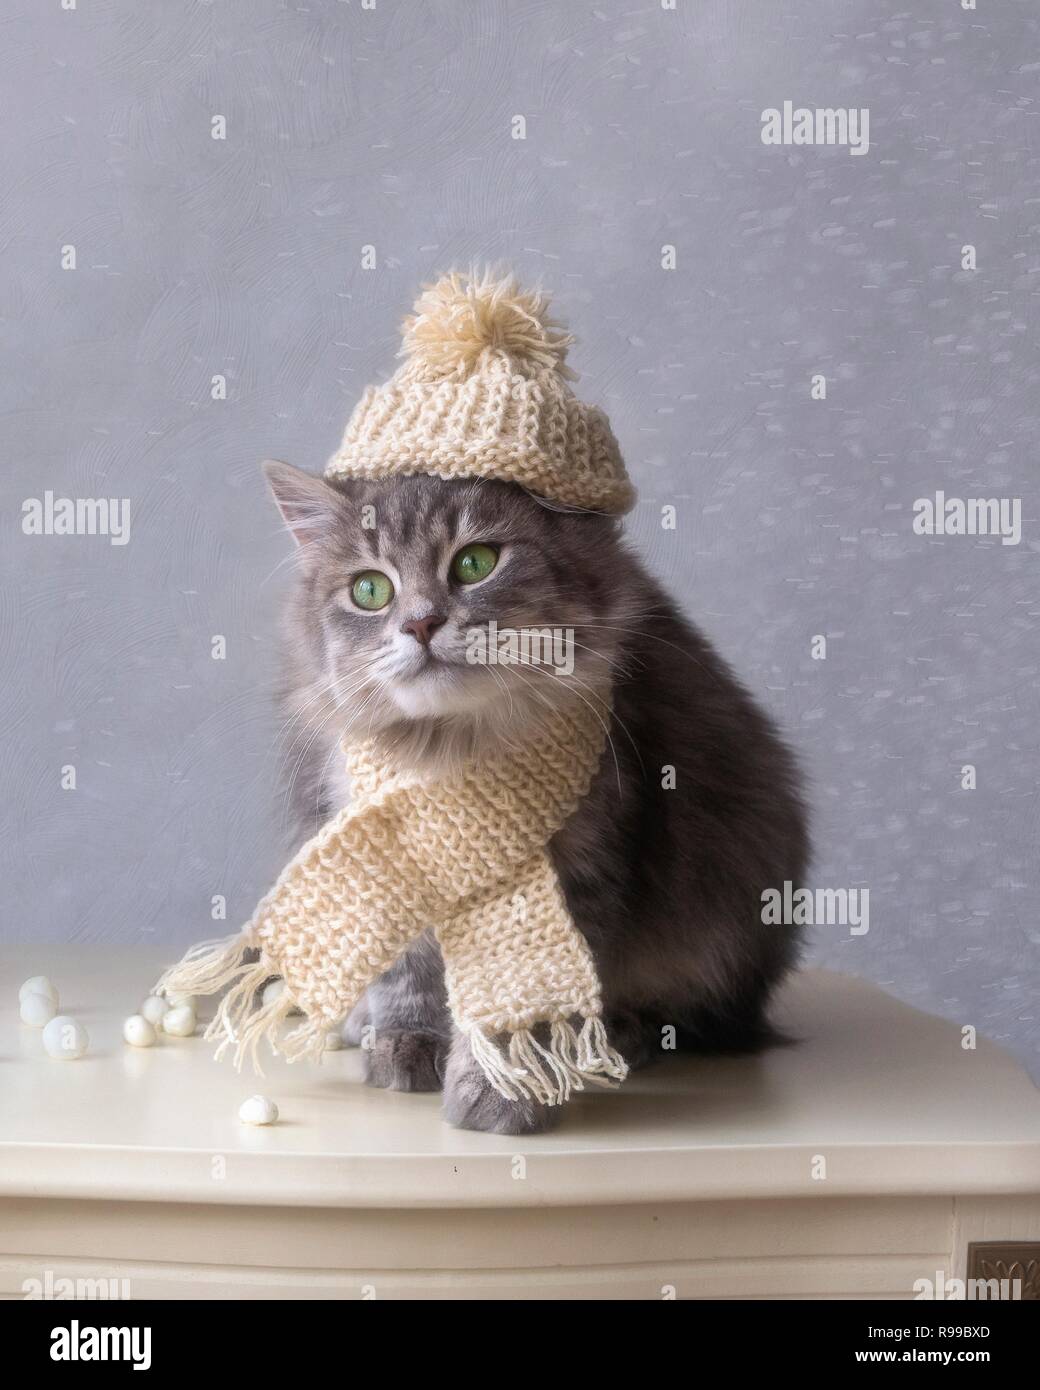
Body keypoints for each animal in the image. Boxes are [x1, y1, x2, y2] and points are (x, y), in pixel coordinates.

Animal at [264, 461, 806, 1134]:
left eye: (474, 563)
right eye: (369, 590)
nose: (419, 623)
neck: (443, 754)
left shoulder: (581, 861)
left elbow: (524, 999)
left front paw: (504, 1092)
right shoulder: (382, 850)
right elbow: (407, 974)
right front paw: (405, 1042)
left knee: (696, 1016)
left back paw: (622, 1037)